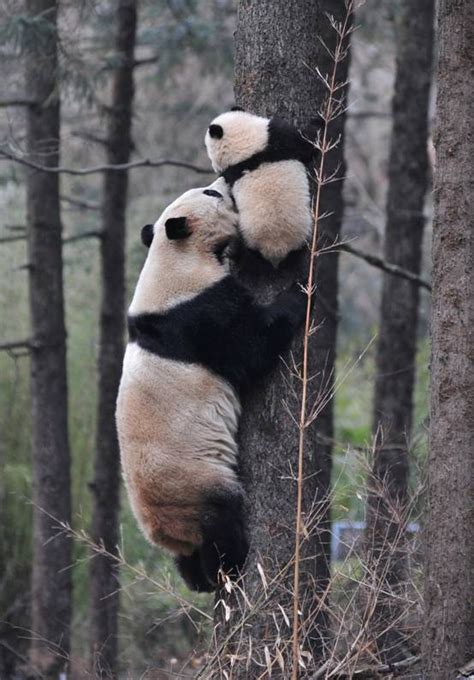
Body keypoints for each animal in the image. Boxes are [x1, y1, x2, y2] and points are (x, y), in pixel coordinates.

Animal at [116, 179, 306, 588]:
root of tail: (166, 530)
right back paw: (229, 567)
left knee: (187, 560)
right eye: (211, 194)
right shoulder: (198, 314)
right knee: (222, 519)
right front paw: (298, 292)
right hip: (195, 483)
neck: (172, 259)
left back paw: (198, 579)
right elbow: (250, 347)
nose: (224, 183)